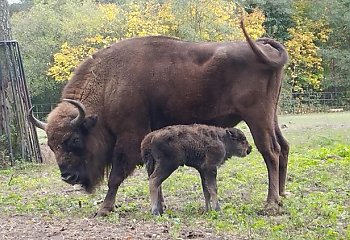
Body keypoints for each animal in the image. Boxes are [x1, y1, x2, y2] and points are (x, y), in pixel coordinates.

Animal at [30, 20, 288, 216]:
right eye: (51, 145)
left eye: (74, 139)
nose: (67, 176)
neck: (109, 83)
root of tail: (264, 48)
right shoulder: (149, 140)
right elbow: (152, 175)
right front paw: (160, 206)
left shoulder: (130, 136)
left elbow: (116, 175)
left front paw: (104, 209)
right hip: (271, 115)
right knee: (283, 147)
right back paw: (282, 196)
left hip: (257, 117)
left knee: (270, 151)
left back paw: (270, 204)